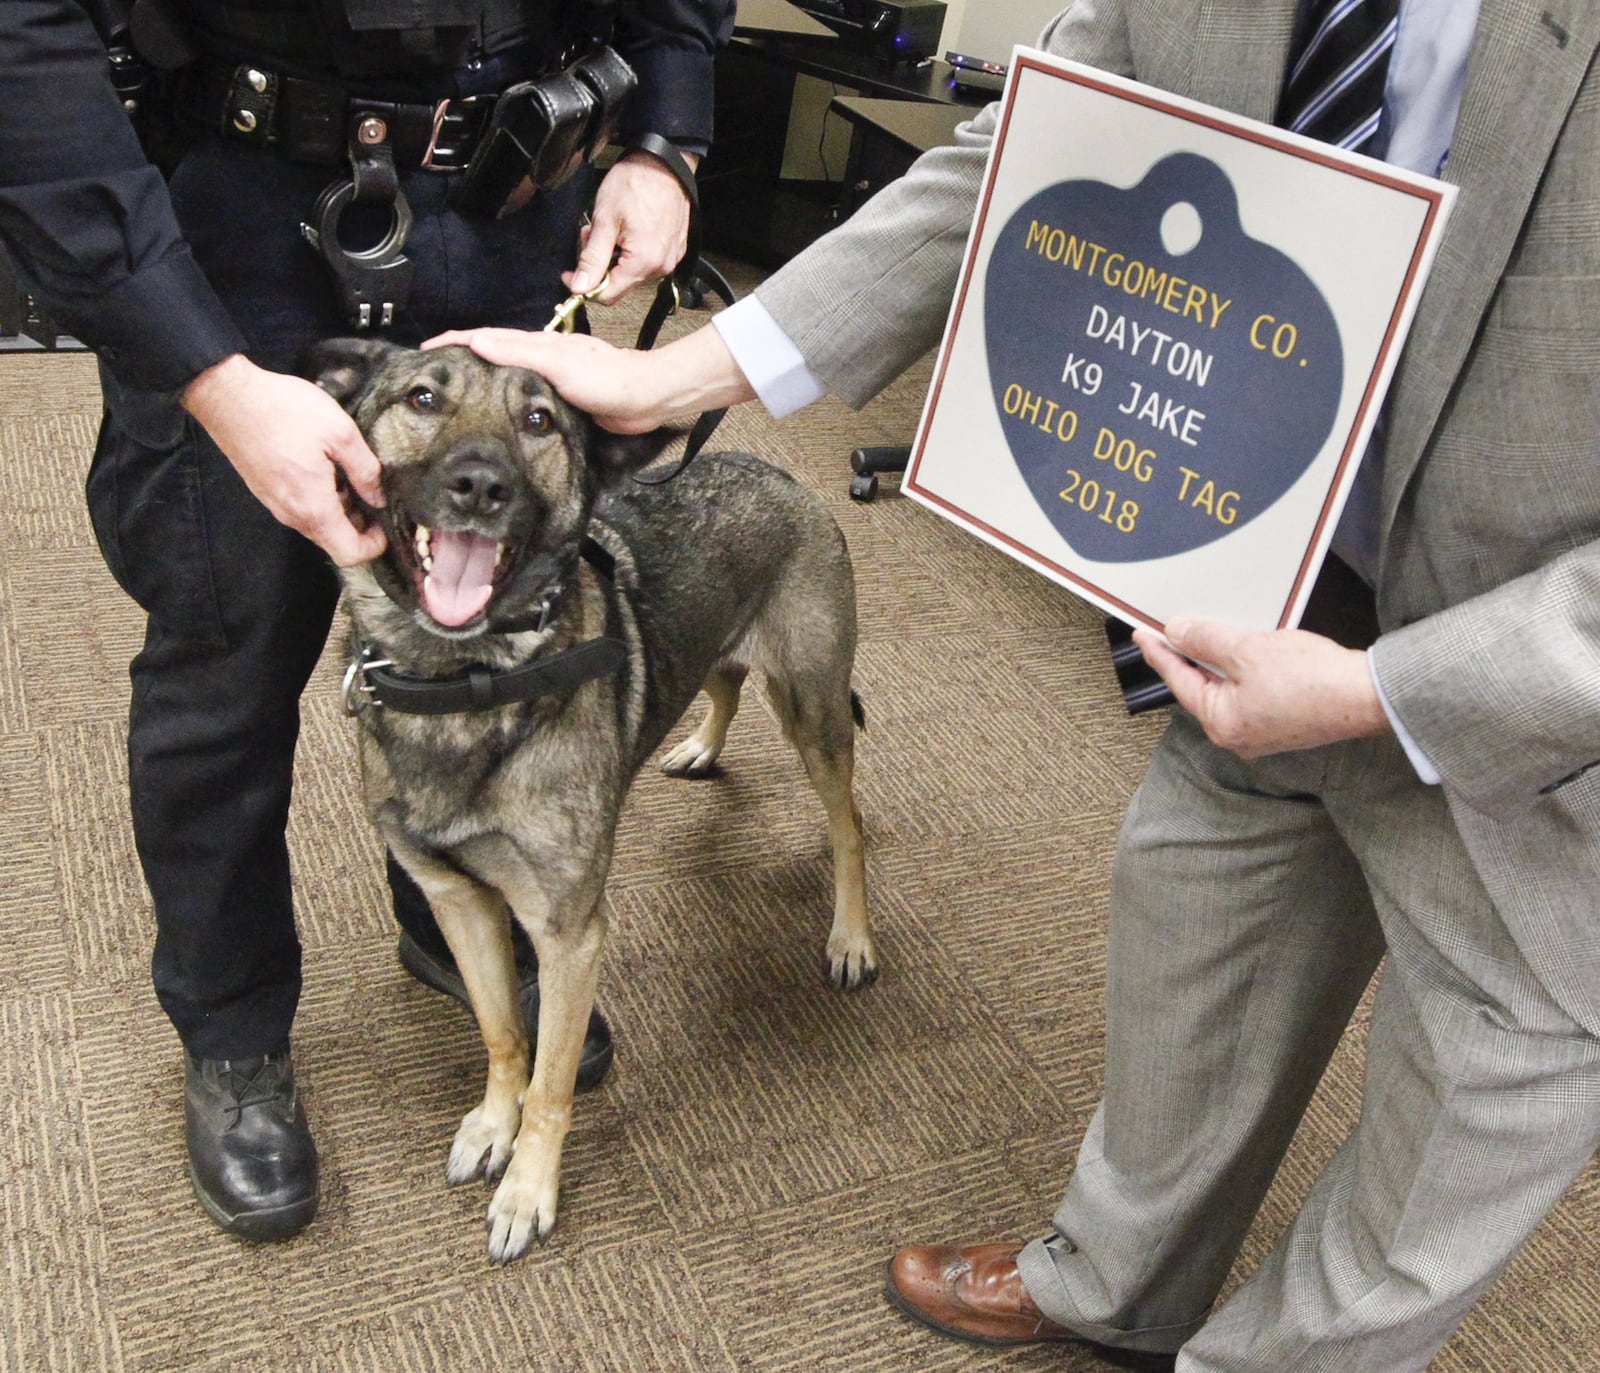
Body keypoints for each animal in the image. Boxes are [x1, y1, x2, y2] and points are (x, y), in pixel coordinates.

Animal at [307, 339, 883, 1260]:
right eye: (422, 398)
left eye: (540, 419)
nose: (479, 485)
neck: (464, 681)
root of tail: (779, 472)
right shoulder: (459, 900)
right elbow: (503, 1034)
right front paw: (491, 1124)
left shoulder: (569, 932)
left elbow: (550, 1083)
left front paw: (527, 1188)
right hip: (722, 661)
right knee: (720, 680)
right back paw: (701, 744)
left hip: (812, 706)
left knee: (849, 823)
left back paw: (852, 936)